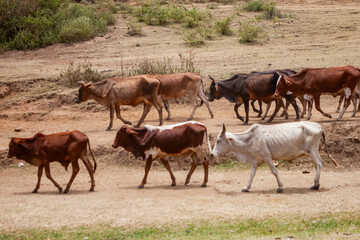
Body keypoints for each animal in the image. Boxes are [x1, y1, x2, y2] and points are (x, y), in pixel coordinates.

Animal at [210, 122, 338, 193]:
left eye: (219, 140)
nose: (212, 154)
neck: (250, 139)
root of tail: (318, 125)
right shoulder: (256, 160)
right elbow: (251, 174)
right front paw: (246, 188)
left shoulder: (267, 157)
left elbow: (274, 171)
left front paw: (280, 187)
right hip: (312, 152)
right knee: (317, 165)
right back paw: (316, 184)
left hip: (312, 151)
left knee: (319, 164)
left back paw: (316, 185)